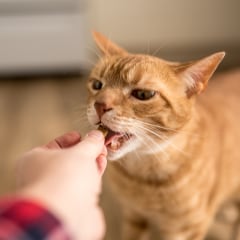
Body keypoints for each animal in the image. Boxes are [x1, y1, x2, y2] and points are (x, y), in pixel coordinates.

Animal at [86, 31, 240, 240]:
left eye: (143, 94)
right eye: (97, 85)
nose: (99, 105)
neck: (142, 176)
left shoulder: (185, 229)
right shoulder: (134, 216)